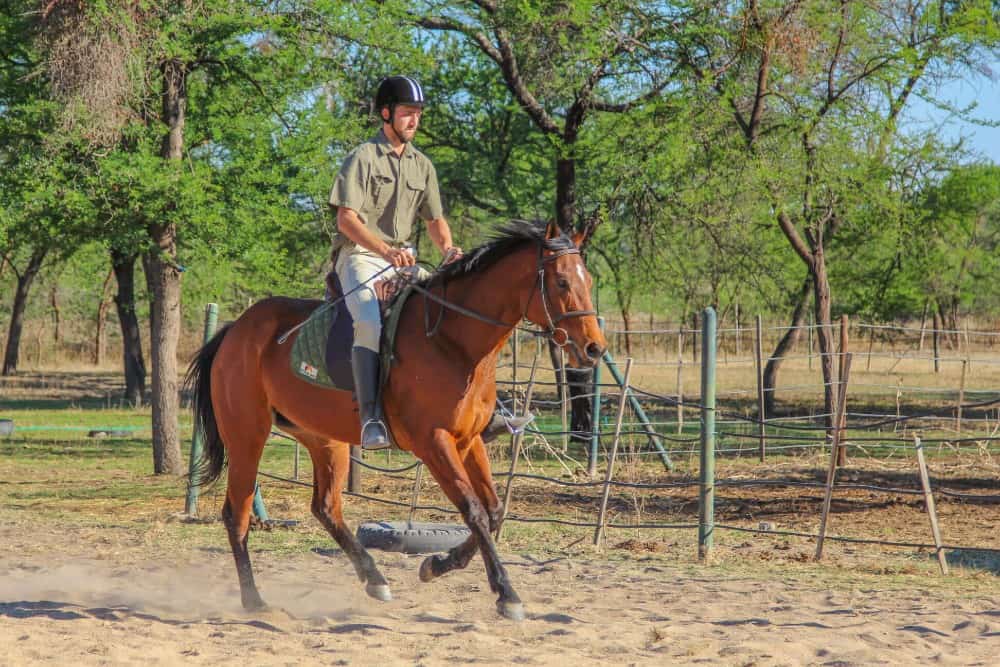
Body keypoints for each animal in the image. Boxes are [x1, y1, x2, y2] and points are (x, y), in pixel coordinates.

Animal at [185, 219, 606, 621]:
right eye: (562, 281)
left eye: (588, 281)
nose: (594, 349)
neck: (453, 343)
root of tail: (235, 330)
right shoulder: (434, 442)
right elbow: (472, 510)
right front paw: (506, 594)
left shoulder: (469, 440)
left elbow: (493, 511)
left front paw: (438, 564)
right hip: (247, 437)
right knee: (237, 513)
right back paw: (254, 600)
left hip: (324, 439)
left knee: (325, 507)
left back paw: (374, 578)